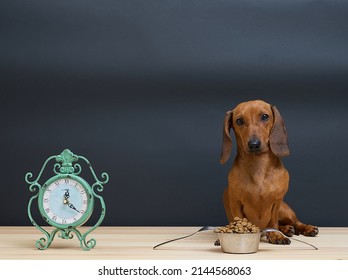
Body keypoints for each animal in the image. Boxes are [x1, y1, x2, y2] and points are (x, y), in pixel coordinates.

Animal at [220, 99, 318, 244]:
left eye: (265, 116)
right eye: (239, 121)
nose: (254, 144)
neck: (259, 166)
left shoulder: (277, 201)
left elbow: (273, 222)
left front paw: (276, 235)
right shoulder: (236, 203)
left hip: (285, 211)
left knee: (295, 222)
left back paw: (306, 228)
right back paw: (287, 229)